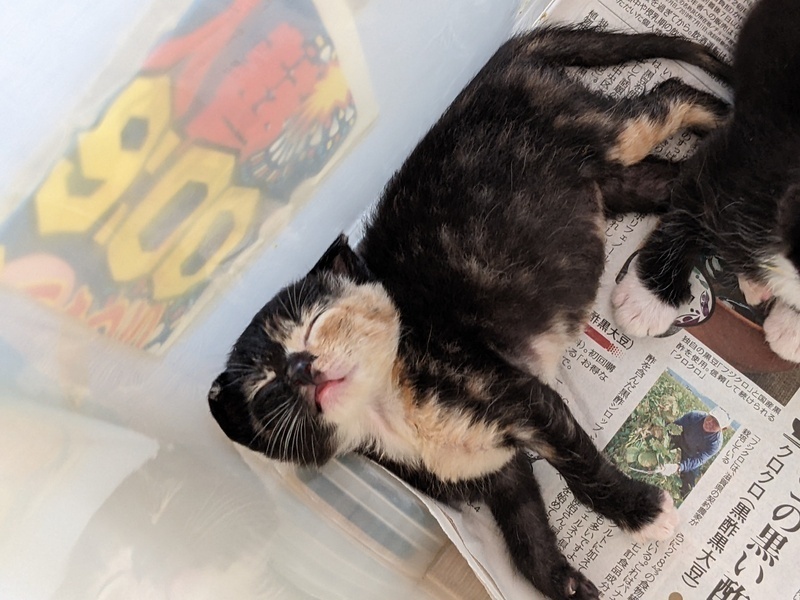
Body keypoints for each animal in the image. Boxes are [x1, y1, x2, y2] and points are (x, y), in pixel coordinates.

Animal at [208, 25, 731, 600]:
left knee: (668, 96)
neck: (388, 406)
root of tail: (496, 67)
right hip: (609, 182)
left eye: (320, 322)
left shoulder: (523, 399)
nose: (301, 369)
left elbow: (579, 464)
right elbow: (525, 537)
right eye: (268, 389)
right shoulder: (498, 469)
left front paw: (639, 513)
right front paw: (565, 585)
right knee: (677, 179)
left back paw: (727, 116)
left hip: (605, 132)